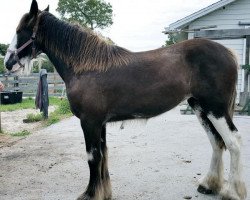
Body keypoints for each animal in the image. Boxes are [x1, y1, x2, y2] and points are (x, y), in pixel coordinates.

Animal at [3, 0, 246, 200]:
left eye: (20, 31)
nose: (7, 62)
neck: (87, 67)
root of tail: (228, 53)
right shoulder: (99, 123)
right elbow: (103, 155)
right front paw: (103, 193)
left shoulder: (89, 122)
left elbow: (93, 157)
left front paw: (90, 195)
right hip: (200, 108)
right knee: (216, 142)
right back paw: (209, 185)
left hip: (215, 109)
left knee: (233, 141)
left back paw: (233, 192)